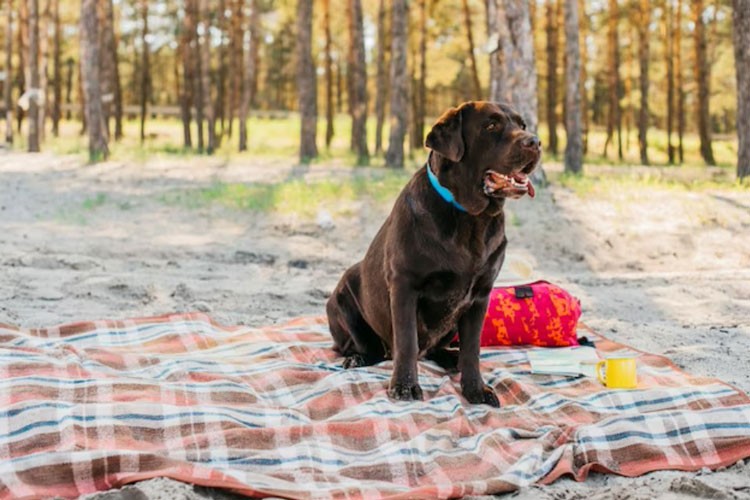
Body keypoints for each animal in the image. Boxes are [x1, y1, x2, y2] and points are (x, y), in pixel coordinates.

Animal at [326, 101, 544, 406]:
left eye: (522, 125)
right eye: (491, 125)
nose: (535, 141)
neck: (470, 218)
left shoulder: (480, 295)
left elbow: (473, 348)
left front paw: (476, 388)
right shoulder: (405, 284)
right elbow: (406, 341)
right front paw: (405, 386)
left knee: (438, 349)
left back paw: (452, 358)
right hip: (342, 295)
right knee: (367, 348)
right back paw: (357, 358)